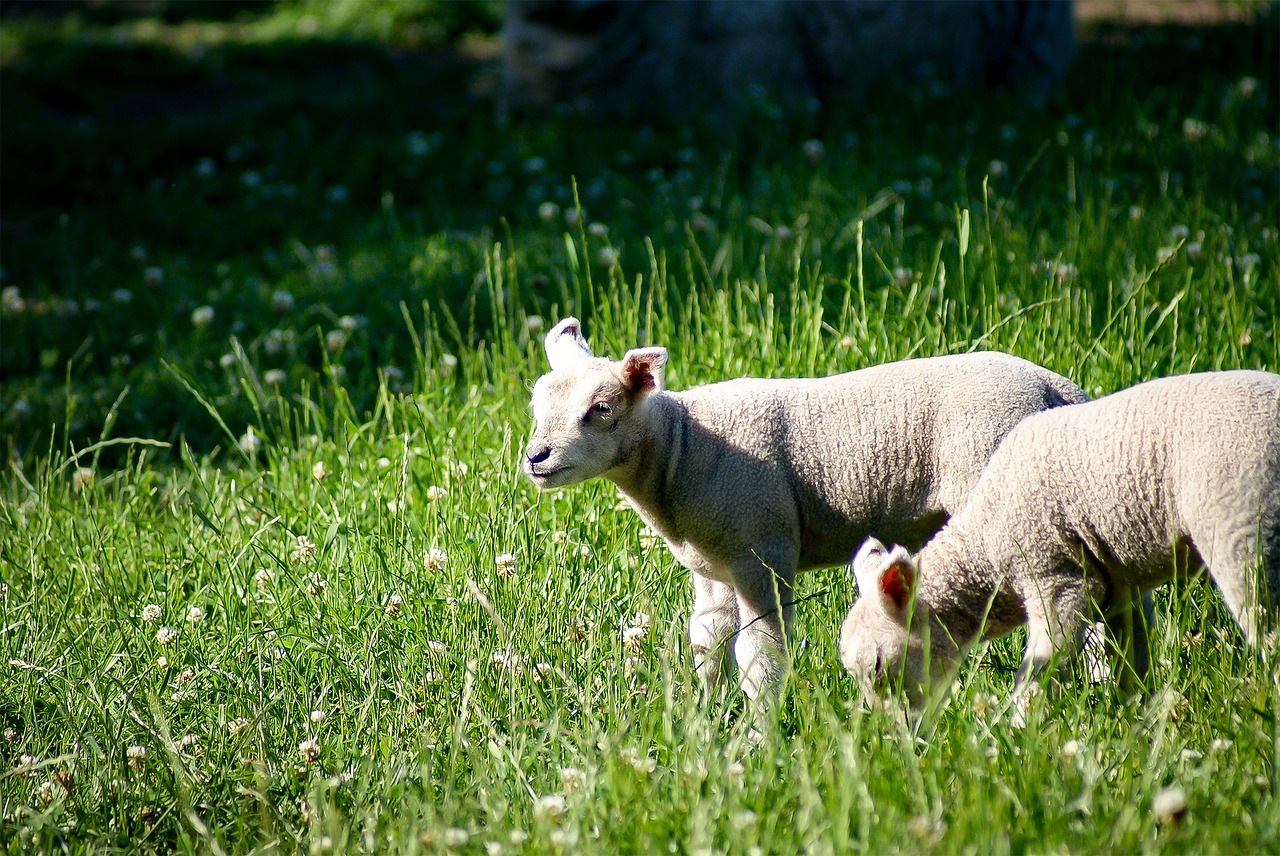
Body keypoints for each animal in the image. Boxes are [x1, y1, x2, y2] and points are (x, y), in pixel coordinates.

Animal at [522, 317, 1090, 696]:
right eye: (535, 405)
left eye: (601, 409)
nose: (535, 457)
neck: (681, 449)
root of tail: (1057, 388)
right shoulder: (712, 566)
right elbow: (705, 643)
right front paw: (703, 720)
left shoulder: (762, 549)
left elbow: (759, 655)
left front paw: (759, 738)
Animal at [839, 371, 1280, 706]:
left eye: (878, 669)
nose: (899, 743)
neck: (986, 550)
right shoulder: (1118, 586)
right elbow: (1131, 660)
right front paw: (1134, 719)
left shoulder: (1055, 577)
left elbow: (1042, 667)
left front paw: (1018, 737)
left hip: (1244, 526)